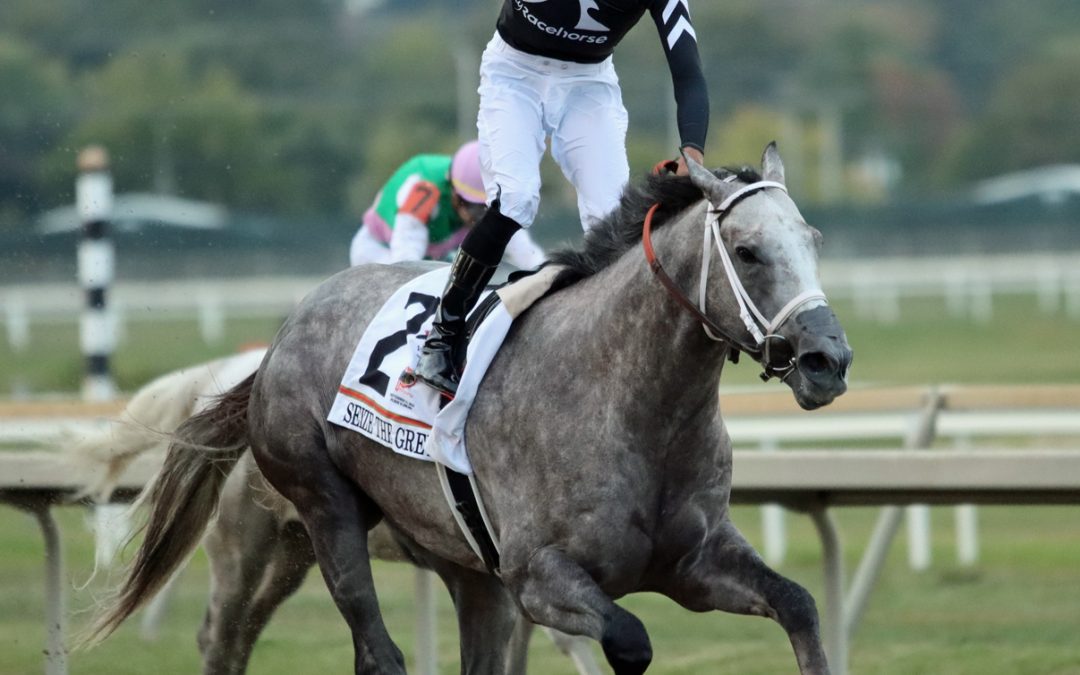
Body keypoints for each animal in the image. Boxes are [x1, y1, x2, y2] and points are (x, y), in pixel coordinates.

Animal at [90, 144, 851, 669]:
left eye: (813, 241)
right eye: (748, 251)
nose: (829, 359)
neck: (631, 401)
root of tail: (276, 342)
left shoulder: (694, 562)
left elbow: (801, 606)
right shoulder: (538, 577)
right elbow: (630, 639)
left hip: (418, 565)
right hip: (307, 513)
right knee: (302, 643)